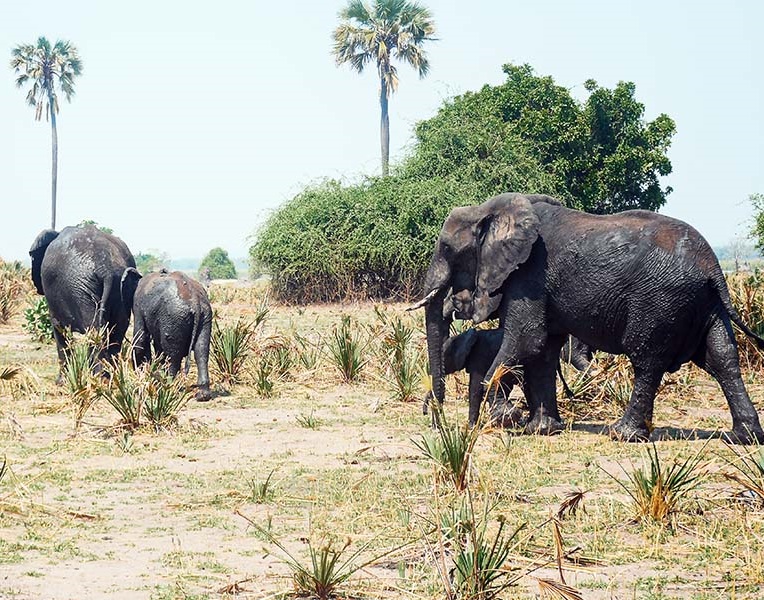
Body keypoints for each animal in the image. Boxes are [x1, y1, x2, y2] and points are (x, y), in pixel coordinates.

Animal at [28, 223, 137, 378]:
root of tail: (106, 269)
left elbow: (58, 328)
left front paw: (62, 381)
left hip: (82, 289)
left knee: (94, 331)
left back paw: (99, 379)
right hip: (120, 288)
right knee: (116, 332)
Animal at [121, 268, 212, 400]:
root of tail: (195, 301)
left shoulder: (137, 304)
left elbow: (140, 339)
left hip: (173, 317)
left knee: (173, 355)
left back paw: (167, 389)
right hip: (205, 315)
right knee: (201, 351)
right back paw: (202, 395)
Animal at [412, 195, 764, 442]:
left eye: (447, 249)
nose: (437, 422)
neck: (492, 209)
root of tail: (713, 267)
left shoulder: (529, 275)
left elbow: (526, 339)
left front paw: (506, 418)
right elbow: (544, 349)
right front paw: (542, 430)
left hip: (661, 301)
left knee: (647, 361)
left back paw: (622, 434)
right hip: (705, 304)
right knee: (722, 358)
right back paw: (743, 437)